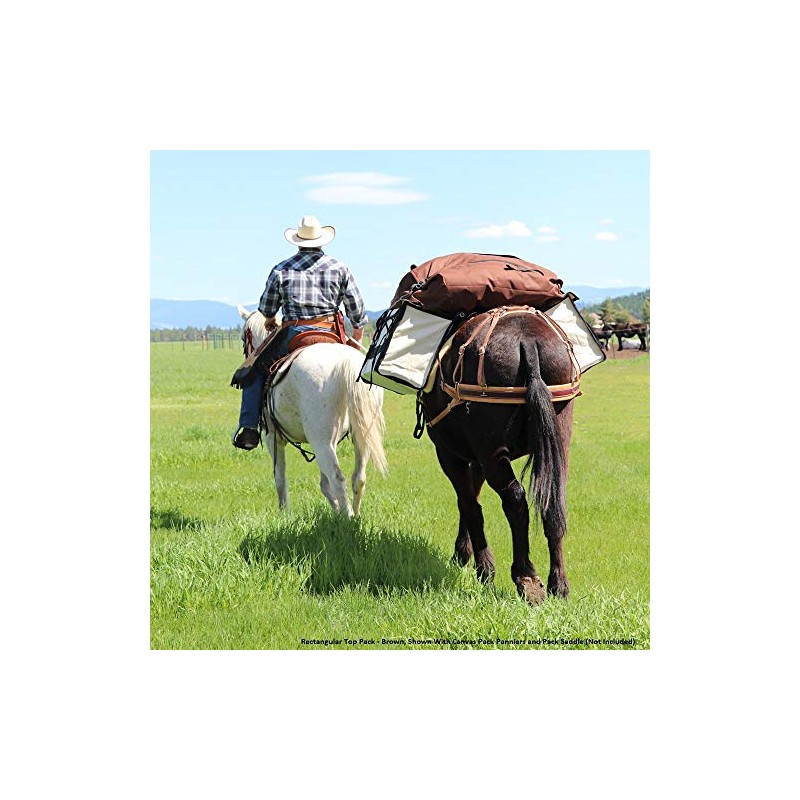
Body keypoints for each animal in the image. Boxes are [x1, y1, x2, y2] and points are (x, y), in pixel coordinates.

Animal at [238, 306, 388, 516]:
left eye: (244, 338)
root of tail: (345, 362)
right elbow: (324, 484)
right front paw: (334, 510)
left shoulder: (272, 437)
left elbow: (280, 478)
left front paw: (284, 513)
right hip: (359, 434)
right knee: (358, 477)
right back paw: (355, 515)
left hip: (321, 441)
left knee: (337, 478)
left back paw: (348, 518)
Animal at [418, 307, 577, 605]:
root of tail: (527, 341)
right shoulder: (477, 459)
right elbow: (471, 498)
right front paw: (464, 552)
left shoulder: (450, 454)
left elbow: (469, 503)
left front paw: (480, 565)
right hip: (558, 435)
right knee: (552, 502)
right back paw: (558, 583)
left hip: (488, 450)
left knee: (514, 500)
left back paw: (526, 577)